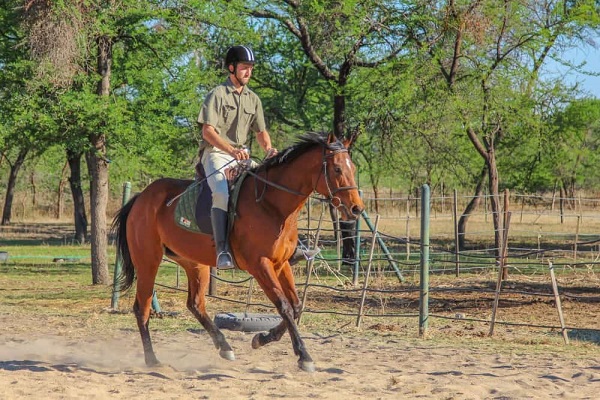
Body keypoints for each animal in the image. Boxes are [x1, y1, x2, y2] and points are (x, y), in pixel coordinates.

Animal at [112, 131, 366, 372]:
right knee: (142, 308)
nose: (357, 209)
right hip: (148, 261)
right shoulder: (260, 265)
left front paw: (263, 338)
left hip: (194, 263)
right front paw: (304, 356)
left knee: (195, 304)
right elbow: (283, 305)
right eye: (337, 168)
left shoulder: (281, 263)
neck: (272, 206)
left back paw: (224, 346)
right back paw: (152, 360)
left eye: (353, 168)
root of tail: (140, 198)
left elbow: (295, 307)